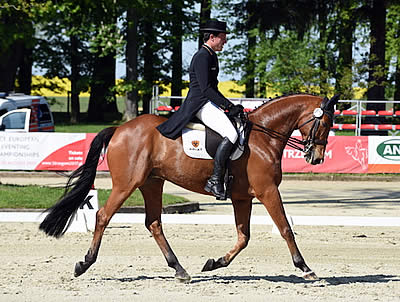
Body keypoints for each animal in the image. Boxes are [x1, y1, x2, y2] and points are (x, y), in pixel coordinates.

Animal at [39, 93, 340, 282]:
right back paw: (84, 264)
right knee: (103, 216)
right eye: (326, 123)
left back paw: (179, 269)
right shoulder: (267, 192)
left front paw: (215, 263)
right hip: (127, 184)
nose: (316, 158)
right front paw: (305, 268)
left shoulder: (242, 198)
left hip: (152, 183)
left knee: (154, 223)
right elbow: (286, 229)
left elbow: (244, 237)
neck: (263, 137)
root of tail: (119, 129)